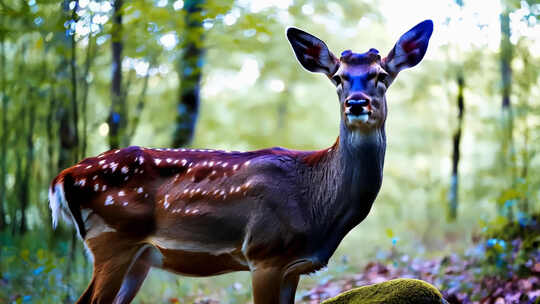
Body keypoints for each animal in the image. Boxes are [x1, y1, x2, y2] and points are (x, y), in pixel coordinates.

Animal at [48, 20, 432, 304]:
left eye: (381, 76)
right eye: (337, 78)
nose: (356, 103)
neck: (317, 203)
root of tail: (63, 177)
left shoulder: (292, 266)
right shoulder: (264, 253)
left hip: (137, 256)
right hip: (112, 239)